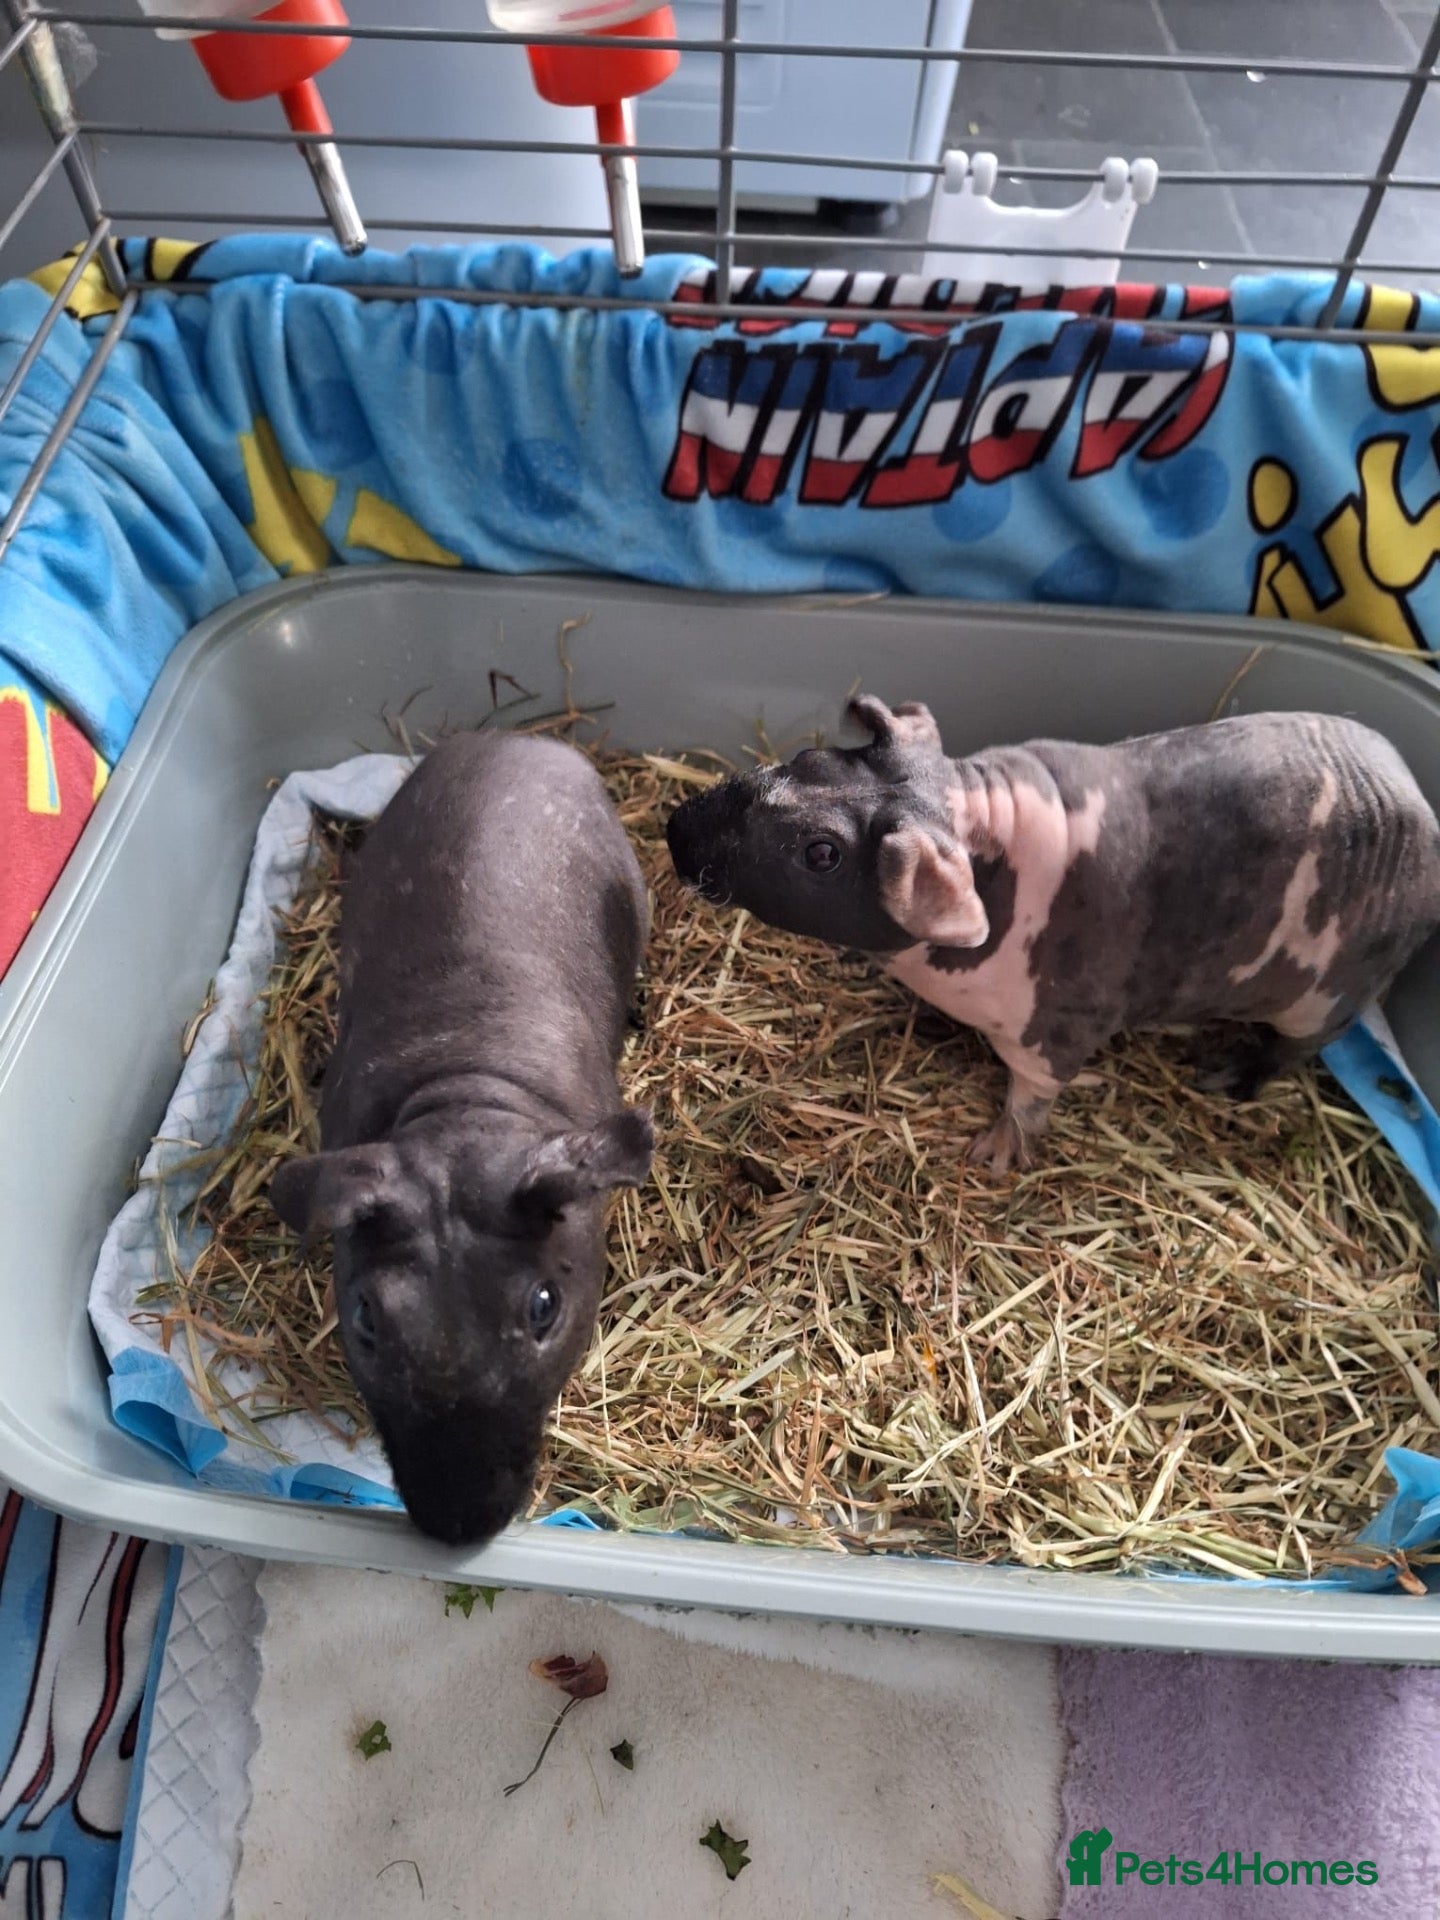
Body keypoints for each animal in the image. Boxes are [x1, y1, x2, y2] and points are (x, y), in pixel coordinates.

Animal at [665, 695, 1440, 1174]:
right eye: (809, 759)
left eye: (821, 853)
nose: (675, 829)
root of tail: (1423, 815)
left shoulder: (1061, 1028)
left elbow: (1033, 1094)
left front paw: (991, 1156)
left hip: (1325, 1000)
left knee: (1295, 1050)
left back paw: (1224, 1075)